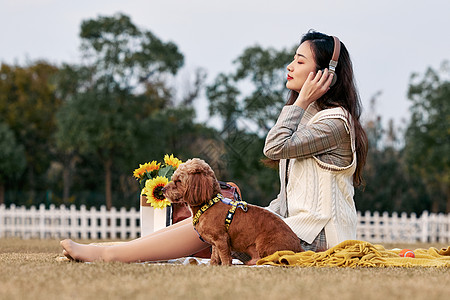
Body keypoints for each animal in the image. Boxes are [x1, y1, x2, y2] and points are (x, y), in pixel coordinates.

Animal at [163, 157, 304, 264]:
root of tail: (299, 249)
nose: (162, 189)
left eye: (178, 181)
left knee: (272, 259)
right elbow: (215, 257)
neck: (208, 205)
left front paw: (226, 266)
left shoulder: (221, 239)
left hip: (264, 244)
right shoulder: (215, 243)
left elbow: (225, 257)